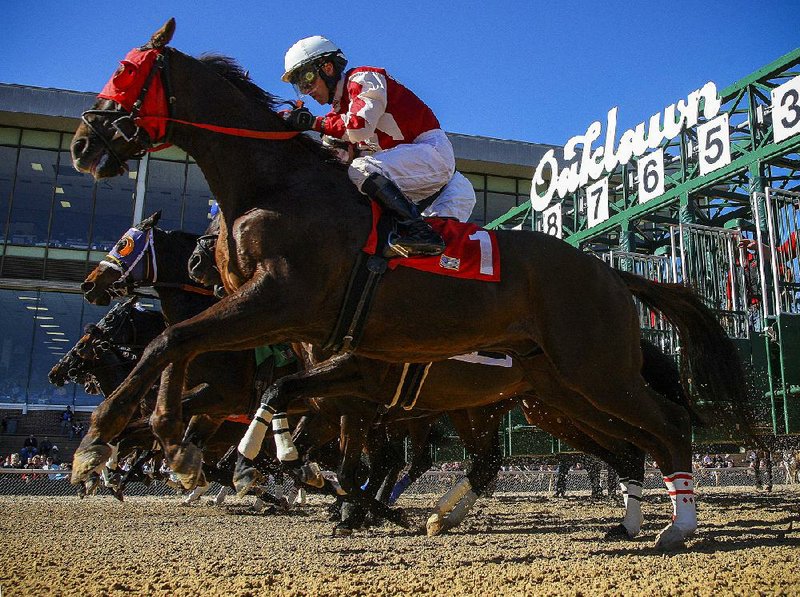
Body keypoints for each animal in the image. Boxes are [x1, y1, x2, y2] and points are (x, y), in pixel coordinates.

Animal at [69, 18, 752, 548]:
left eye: (127, 71)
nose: (81, 144)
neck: (277, 184)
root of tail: (607, 270)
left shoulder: (283, 300)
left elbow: (175, 342)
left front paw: (105, 440)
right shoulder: (302, 335)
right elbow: (216, 364)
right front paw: (179, 446)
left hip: (593, 371)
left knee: (668, 427)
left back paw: (677, 526)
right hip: (561, 387)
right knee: (613, 444)